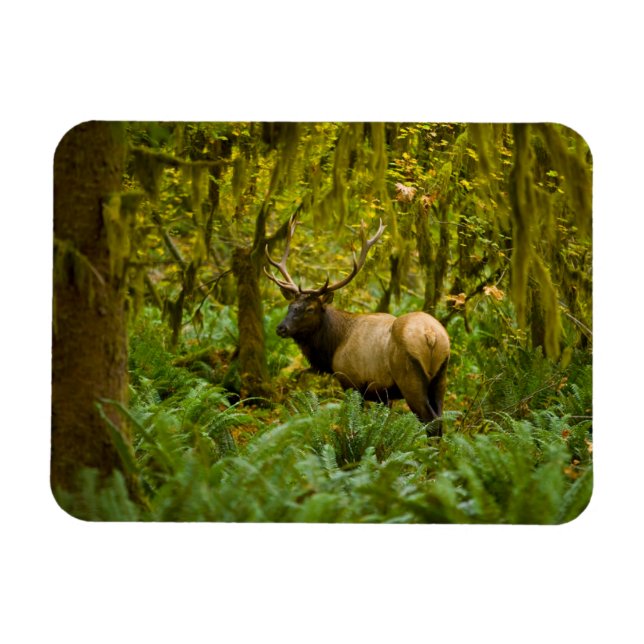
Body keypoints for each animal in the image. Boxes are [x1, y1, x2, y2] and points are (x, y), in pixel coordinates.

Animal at [264, 215, 450, 436]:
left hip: (410, 378)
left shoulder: (351, 381)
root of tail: (431, 336)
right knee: (440, 420)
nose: (281, 328)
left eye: (310, 309)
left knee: (431, 422)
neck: (334, 346)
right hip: (440, 377)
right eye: (290, 306)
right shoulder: (382, 394)